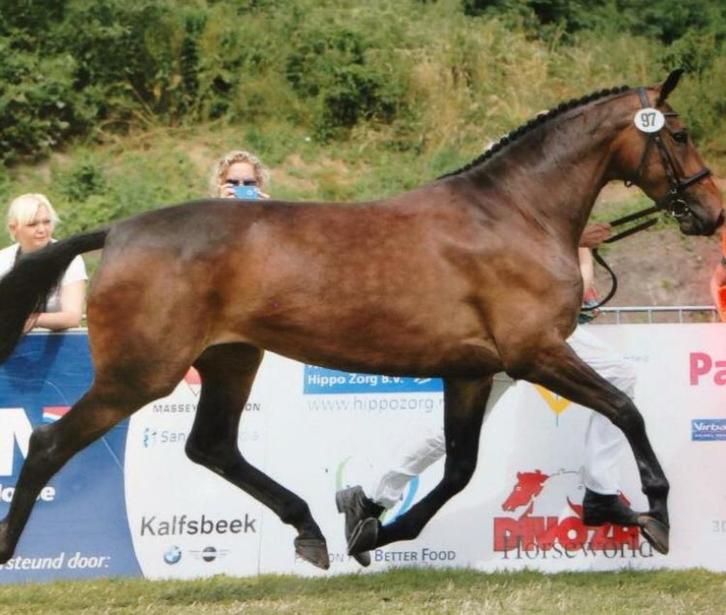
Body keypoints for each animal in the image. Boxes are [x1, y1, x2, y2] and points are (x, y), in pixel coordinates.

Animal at [0, 70, 721, 570]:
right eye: (680, 134)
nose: (711, 211)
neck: (513, 213)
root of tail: (119, 231)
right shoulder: (534, 353)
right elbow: (625, 410)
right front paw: (652, 511)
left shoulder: (471, 371)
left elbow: (457, 468)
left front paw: (373, 526)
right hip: (140, 374)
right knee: (49, 444)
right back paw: (10, 549)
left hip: (231, 358)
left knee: (212, 446)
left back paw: (310, 531)